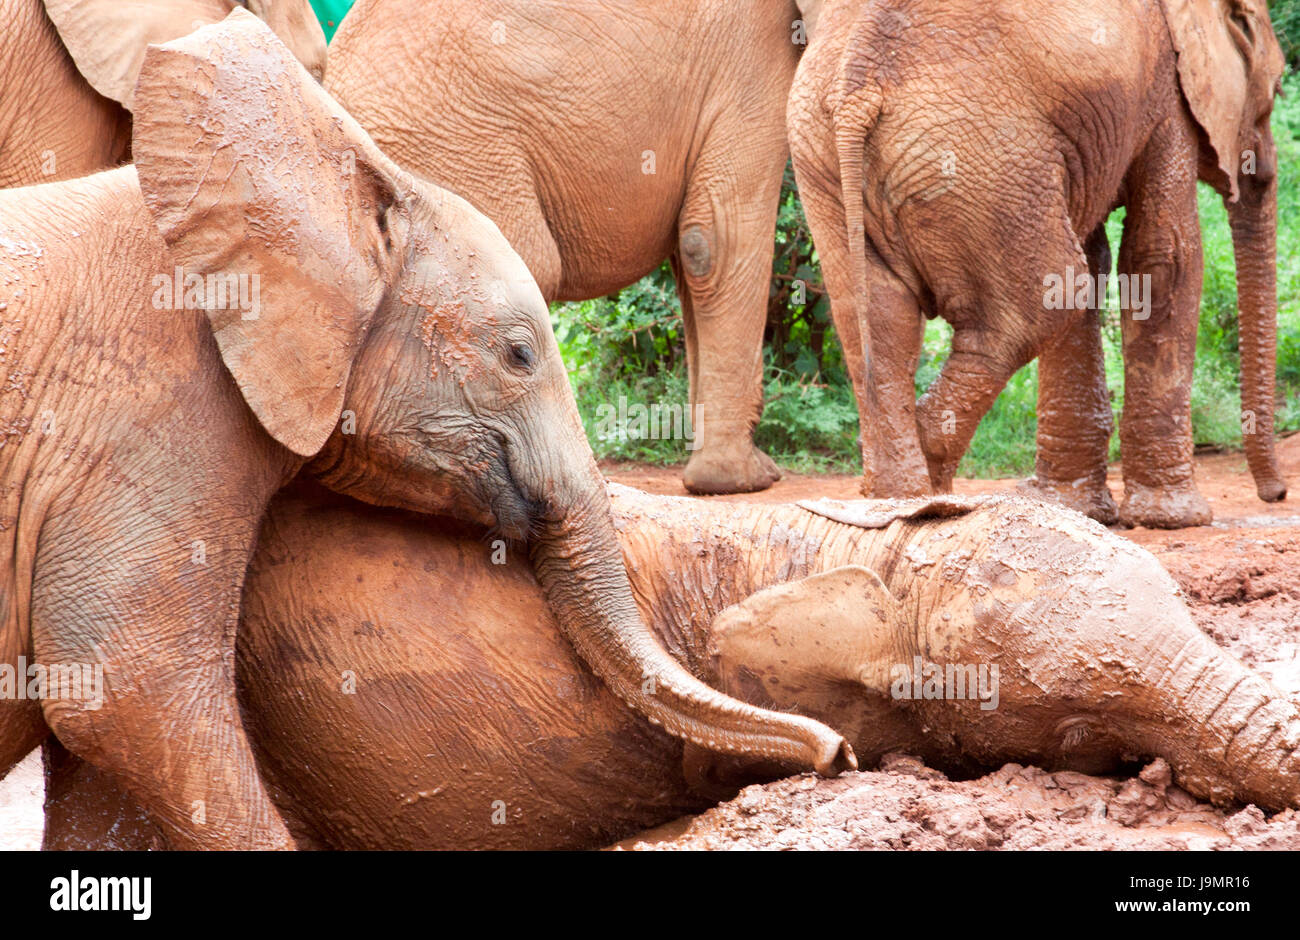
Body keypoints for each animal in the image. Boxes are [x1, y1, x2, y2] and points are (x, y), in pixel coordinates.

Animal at [788, 0, 1287, 528]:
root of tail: (857, 91)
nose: (1275, 494)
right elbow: (1163, 255)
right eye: (1276, 89)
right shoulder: (1165, 89)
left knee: (879, 323)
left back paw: (897, 501)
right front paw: (1173, 519)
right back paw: (927, 488)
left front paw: (1080, 510)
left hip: (826, 159)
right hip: (979, 159)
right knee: (1046, 299)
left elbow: (1099, 250)